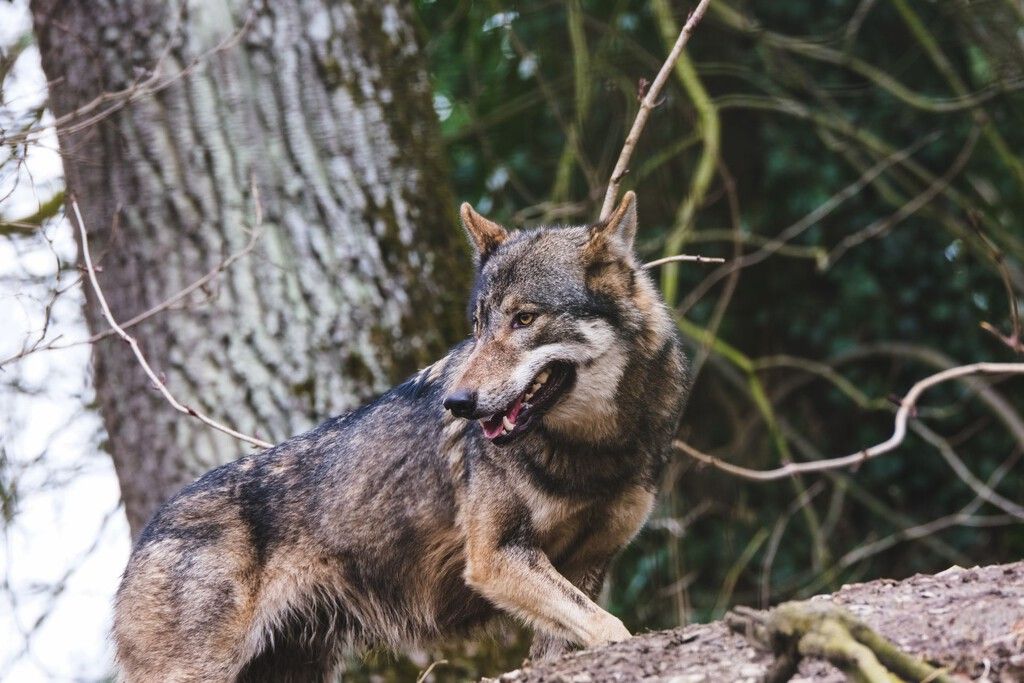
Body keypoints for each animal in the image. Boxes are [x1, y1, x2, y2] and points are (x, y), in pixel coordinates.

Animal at [112, 192, 691, 682]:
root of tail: (147, 534)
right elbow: (612, 627)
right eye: (478, 325)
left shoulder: (589, 563)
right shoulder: (496, 559)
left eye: (525, 318)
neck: (596, 448)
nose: (457, 403)